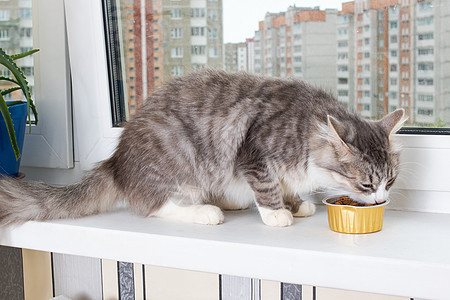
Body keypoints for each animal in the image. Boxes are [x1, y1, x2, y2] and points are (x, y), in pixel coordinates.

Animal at [0, 70, 406, 226]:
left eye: (390, 182)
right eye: (366, 185)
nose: (382, 200)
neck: (306, 127)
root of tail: (116, 161)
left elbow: (288, 188)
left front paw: (296, 203)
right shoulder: (255, 154)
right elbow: (268, 188)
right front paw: (278, 213)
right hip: (177, 158)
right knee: (155, 207)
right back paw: (205, 211)